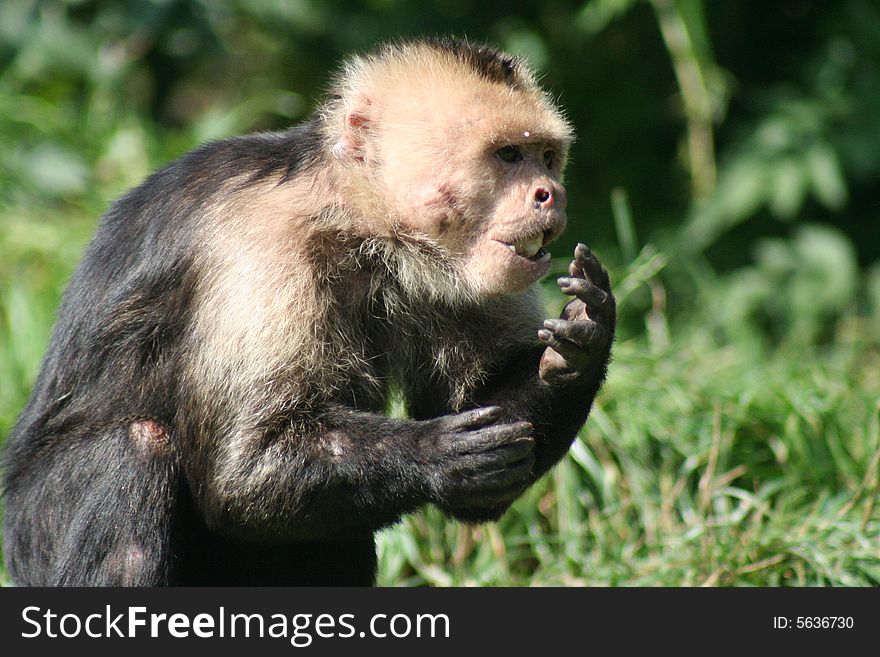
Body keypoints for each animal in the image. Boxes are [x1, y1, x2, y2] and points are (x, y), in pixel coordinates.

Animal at [3, 39, 616, 584]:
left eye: (546, 157)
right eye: (507, 155)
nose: (550, 193)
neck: (356, 221)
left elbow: (487, 477)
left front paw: (580, 345)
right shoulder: (262, 247)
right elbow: (241, 477)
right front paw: (433, 452)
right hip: (33, 535)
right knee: (134, 449)